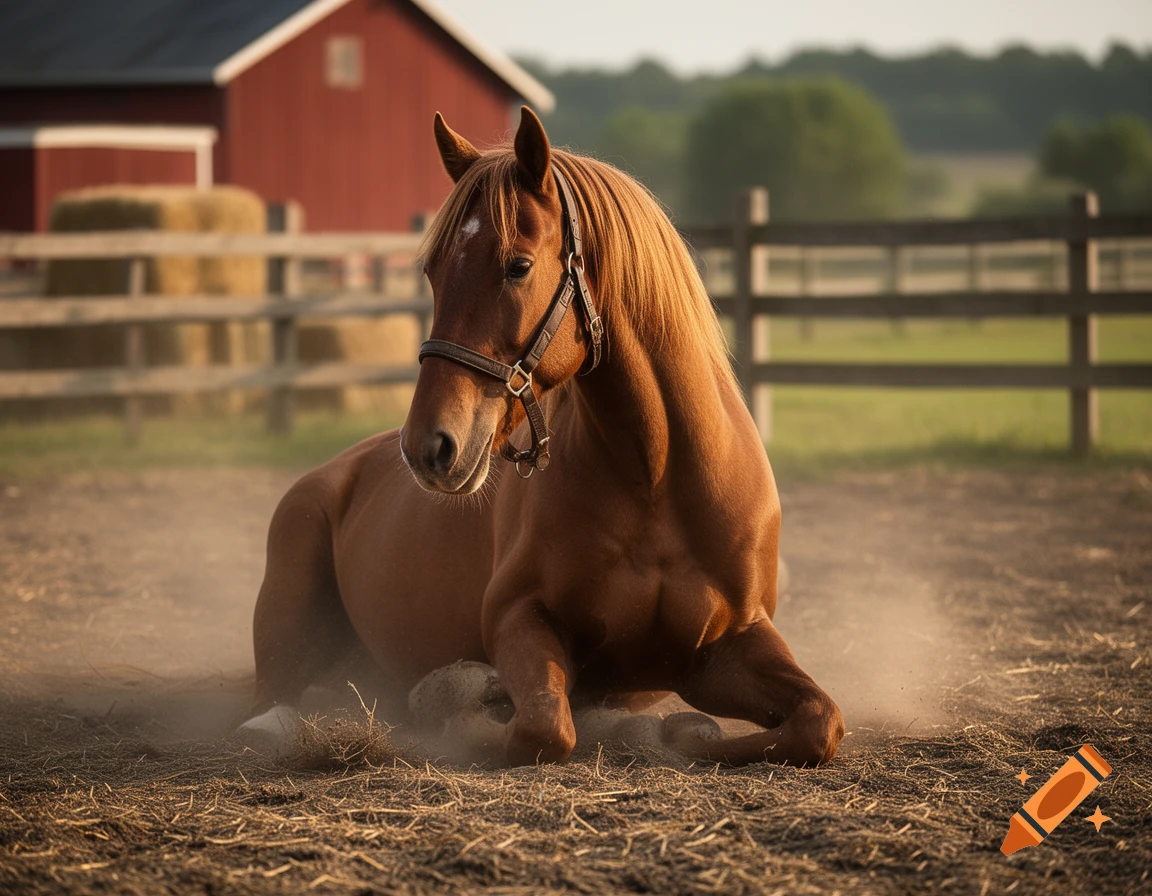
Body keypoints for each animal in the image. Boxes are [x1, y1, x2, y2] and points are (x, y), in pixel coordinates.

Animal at [238, 107, 845, 767]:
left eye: (518, 266)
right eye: (431, 271)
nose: (429, 446)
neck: (655, 477)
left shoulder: (725, 646)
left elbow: (818, 721)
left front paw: (669, 731)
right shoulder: (517, 616)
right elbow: (543, 725)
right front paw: (458, 705)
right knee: (274, 704)